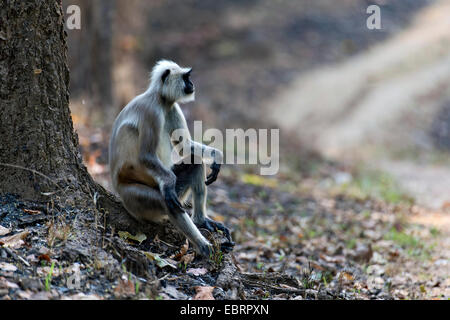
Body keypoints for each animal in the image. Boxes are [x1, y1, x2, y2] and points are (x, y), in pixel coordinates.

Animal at [109, 60, 234, 258]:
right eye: (186, 77)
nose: (192, 84)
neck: (160, 99)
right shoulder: (151, 111)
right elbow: (146, 155)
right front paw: (168, 184)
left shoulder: (171, 106)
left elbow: (186, 147)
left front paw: (217, 156)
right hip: (133, 199)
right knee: (166, 202)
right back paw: (205, 248)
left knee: (195, 162)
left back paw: (201, 221)